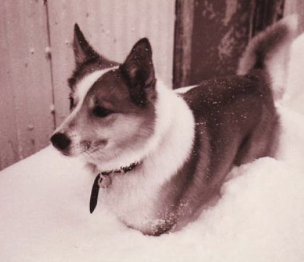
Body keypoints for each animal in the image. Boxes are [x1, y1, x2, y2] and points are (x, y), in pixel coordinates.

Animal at [50, 16, 296, 235]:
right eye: (72, 101)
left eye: (101, 110)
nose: (55, 140)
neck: (139, 157)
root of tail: (254, 78)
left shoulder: (157, 227)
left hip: (252, 155)